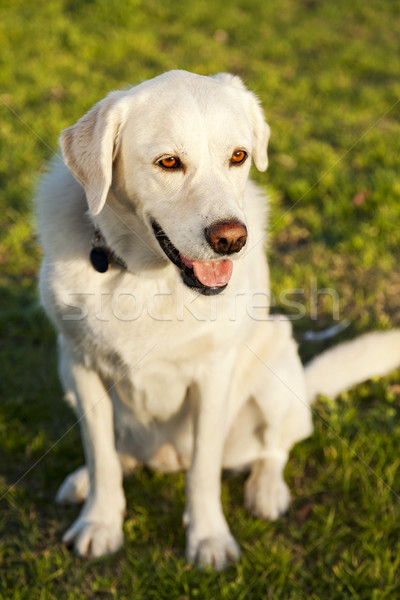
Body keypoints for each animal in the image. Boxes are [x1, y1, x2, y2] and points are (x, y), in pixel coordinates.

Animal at [36, 69, 398, 568]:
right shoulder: (81, 367)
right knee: (119, 452)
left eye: (238, 156)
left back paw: (267, 491)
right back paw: (83, 481)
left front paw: (208, 537)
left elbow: (203, 469)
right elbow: (102, 455)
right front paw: (100, 523)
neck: (146, 275)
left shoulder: (212, 377)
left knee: (277, 446)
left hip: (275, 363)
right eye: (169, 162)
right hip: (68, 378)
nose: (231, 239)